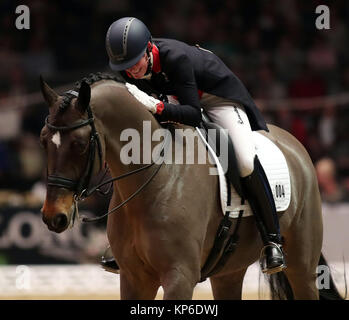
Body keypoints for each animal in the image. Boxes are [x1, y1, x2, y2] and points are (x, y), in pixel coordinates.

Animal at [39, 73, 342, 300]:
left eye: (79, 144)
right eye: (43, 140)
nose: (54, 217)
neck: (156, 175)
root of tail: (293, 143)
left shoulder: (179, 276)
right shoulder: (134, 278)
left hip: (302, 267)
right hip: (228, 272)